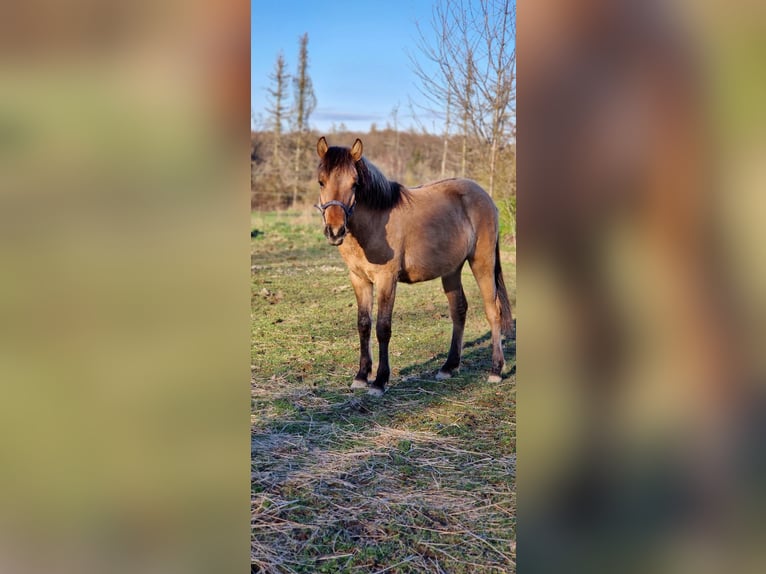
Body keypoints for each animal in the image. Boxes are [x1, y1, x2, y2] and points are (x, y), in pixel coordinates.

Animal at [312, 137, 516, 398]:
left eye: (355, 184)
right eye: (321, 181)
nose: (335, 231)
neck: (376, 221)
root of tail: (485, 197)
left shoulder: (387, 279)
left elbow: (383, 327)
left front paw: (379, 381)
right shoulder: (359, 279)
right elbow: (364, 325)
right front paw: (361, 376)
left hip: (482, 263)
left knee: (493, 311)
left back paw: (496, 370)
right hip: (452, 270)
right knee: (459, 310)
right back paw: (449, 367)